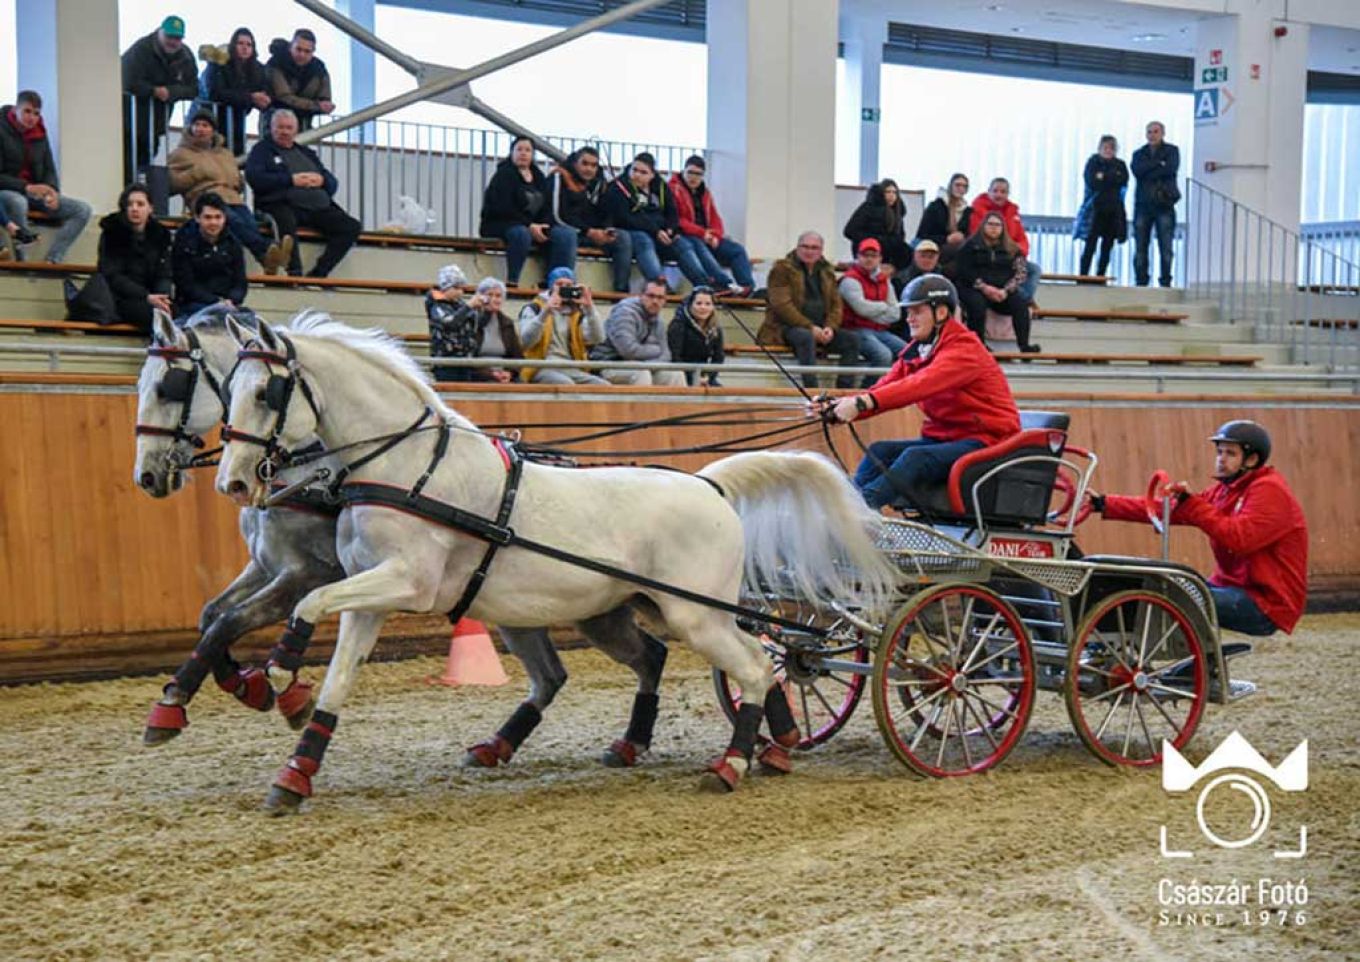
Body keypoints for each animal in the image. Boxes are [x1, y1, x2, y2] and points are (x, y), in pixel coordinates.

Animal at [214, 315, 903, 810]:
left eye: (266, 391)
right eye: (226, 392)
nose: (233, 482)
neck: (405, 468)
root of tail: (708, 485)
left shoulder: (407, 584)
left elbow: (307, 602)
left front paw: (274, 678)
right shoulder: (370, 595)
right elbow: (338, 676)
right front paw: (295, 770)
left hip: (693, 615)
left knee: (756, 666)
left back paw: (732, 764)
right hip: (643, 610)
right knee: (762, 657)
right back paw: (771, 745)